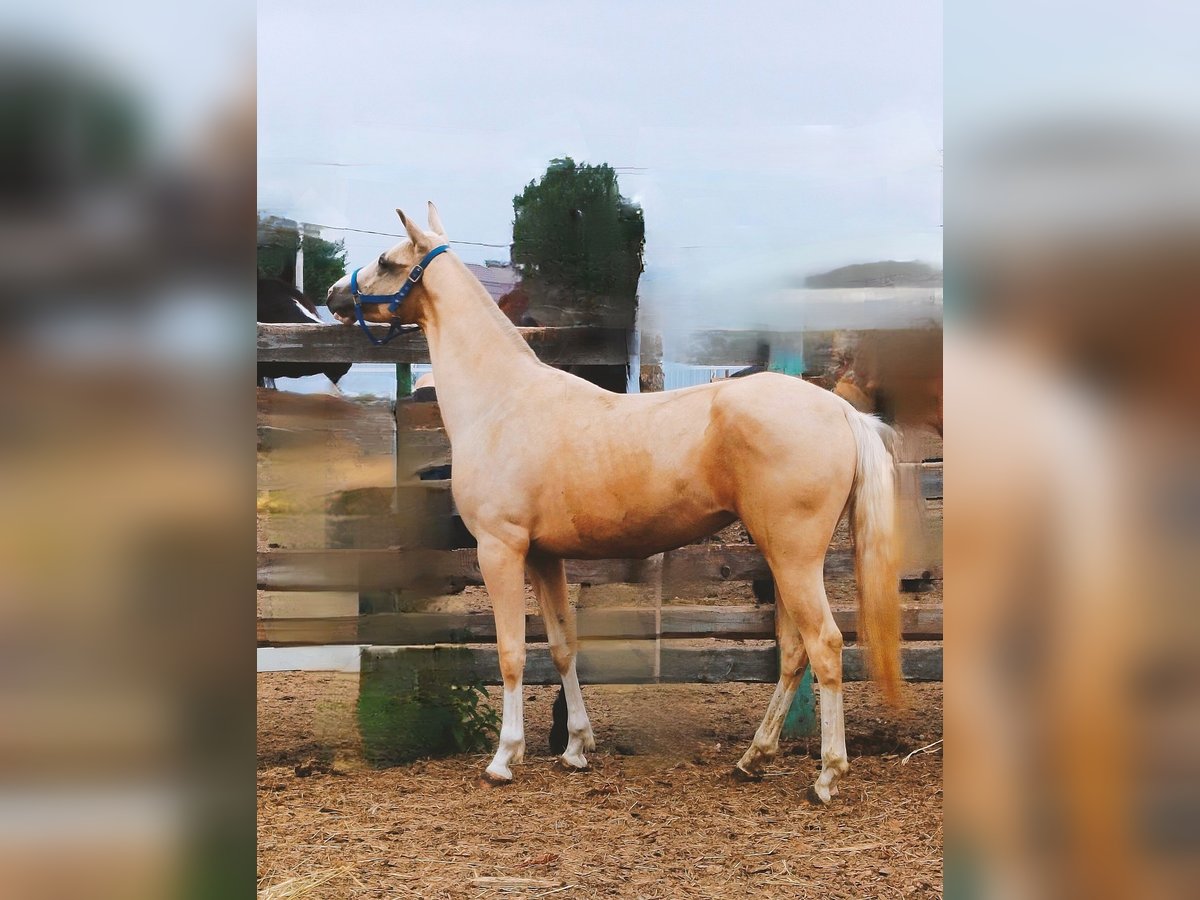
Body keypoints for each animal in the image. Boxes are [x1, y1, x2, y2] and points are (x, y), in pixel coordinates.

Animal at [326, 203, 903, 803]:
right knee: (794, 652)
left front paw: (505, 757)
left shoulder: (499, 548)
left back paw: (827, 775)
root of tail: (841, 411)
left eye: (388, 261)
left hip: (794, 556)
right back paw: (753, 758)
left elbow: (511, 652)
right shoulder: (544, 556)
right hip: (781, 555)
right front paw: (576, 748)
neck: (503, 402)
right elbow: (562, 645)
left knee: (826, 645)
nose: (333, 295)